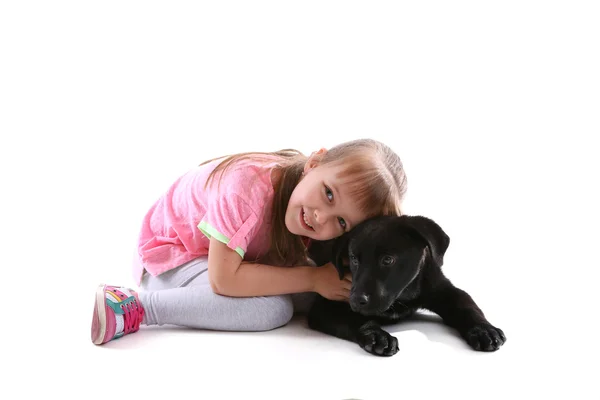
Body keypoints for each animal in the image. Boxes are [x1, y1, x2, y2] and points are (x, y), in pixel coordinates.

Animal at [304, 214, 506, 358]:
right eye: (354, 259)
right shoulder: (324, 307)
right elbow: (355, 320)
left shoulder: (446, 290)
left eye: (388, 260)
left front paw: (483, 330)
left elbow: (468, 307)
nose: (356, 300)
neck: (402, 296)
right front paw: (375, 335)